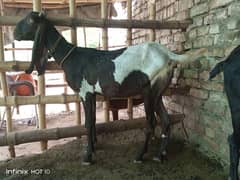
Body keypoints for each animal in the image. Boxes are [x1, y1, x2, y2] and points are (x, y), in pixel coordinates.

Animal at [14, 11, 207, 165]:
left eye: (30, 20)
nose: (15, 32)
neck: (73, 57)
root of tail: (167, 54)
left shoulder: (85, 92)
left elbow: (88, 123)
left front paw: (88, 157)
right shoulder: (92, 93)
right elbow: (91, 121)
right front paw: (94, 147)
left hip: (149, 90)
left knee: (151, 123)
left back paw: (140, 156)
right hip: (159, 91)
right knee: (166, 120)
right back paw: (160, 155)